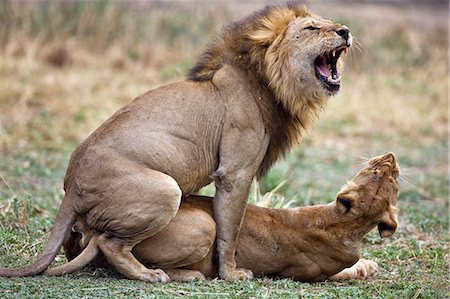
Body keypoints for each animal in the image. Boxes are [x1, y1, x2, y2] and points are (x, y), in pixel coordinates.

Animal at [0, 3, 352, 282]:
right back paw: (150, 274)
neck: (270, 82)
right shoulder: (234, 172)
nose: (346, 30)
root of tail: (71, 186)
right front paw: (231, 273)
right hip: (166, 190)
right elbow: (230, 229)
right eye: (311, 27)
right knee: (110, 243)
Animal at [49, 154, 400, 282]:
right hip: (205, 224)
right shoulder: (314, 275)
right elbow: (350, 271)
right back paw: (183, 276)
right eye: (376, 171)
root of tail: (93, 230)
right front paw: (368, 266)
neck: (344, 225)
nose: (391, 156)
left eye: (391, 176)